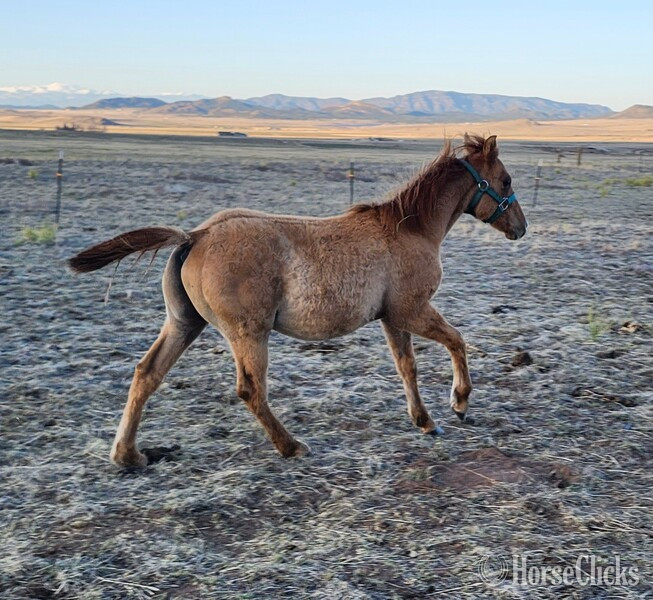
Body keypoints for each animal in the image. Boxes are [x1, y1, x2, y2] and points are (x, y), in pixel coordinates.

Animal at [69, 134, 527, 468]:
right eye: (505, 180)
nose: (521, 227)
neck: (409, 229)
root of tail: (195, 235)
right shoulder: (412, 310)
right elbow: (457, 341)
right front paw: (459, 403)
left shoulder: (392, 317)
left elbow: (406, 368)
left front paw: (425, 421)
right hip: (250, 334)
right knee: (250, 390)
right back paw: (291, 447)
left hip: (185, 324)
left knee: (147, 373)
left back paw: (128, 455)